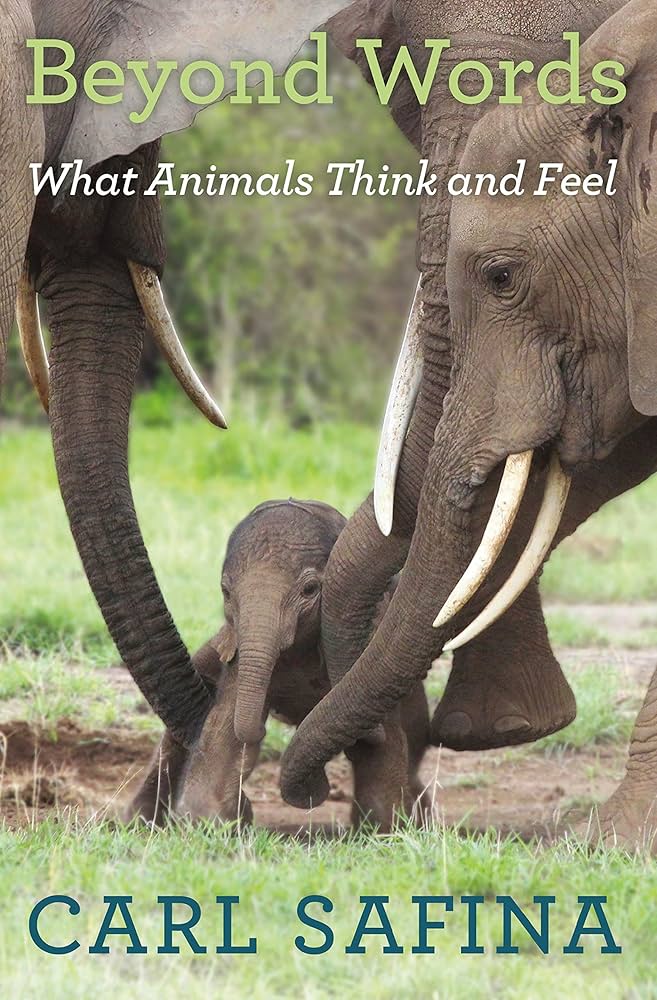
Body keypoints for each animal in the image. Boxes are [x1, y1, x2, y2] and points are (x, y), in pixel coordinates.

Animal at [127, 499, 432, 831]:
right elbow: (225, 731)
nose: (318, 790)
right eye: (226, 593)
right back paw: (139, 821)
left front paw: (386, 830)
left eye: (310, 589)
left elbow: (378, 746)